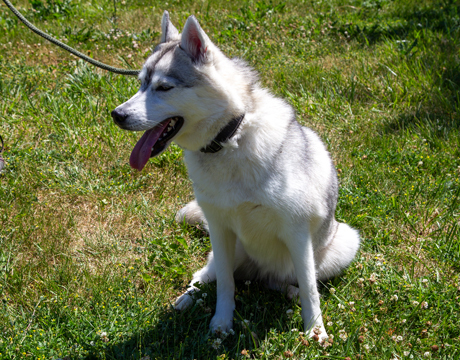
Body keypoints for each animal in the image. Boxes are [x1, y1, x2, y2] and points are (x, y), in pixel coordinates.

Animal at [110, 9, 360, 338]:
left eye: (163, 88)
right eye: (141, 84)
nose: (117, 114)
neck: (229, 140)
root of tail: (259, 274)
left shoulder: (297, 233)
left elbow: (310, 288)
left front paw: (314, 330)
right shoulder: (219, 227)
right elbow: (225, 285)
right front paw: (221, 322)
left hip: (344, 242)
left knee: (287, 282)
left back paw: (288, 292)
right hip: (227, 250)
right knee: (205, 275)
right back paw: (187, 298)